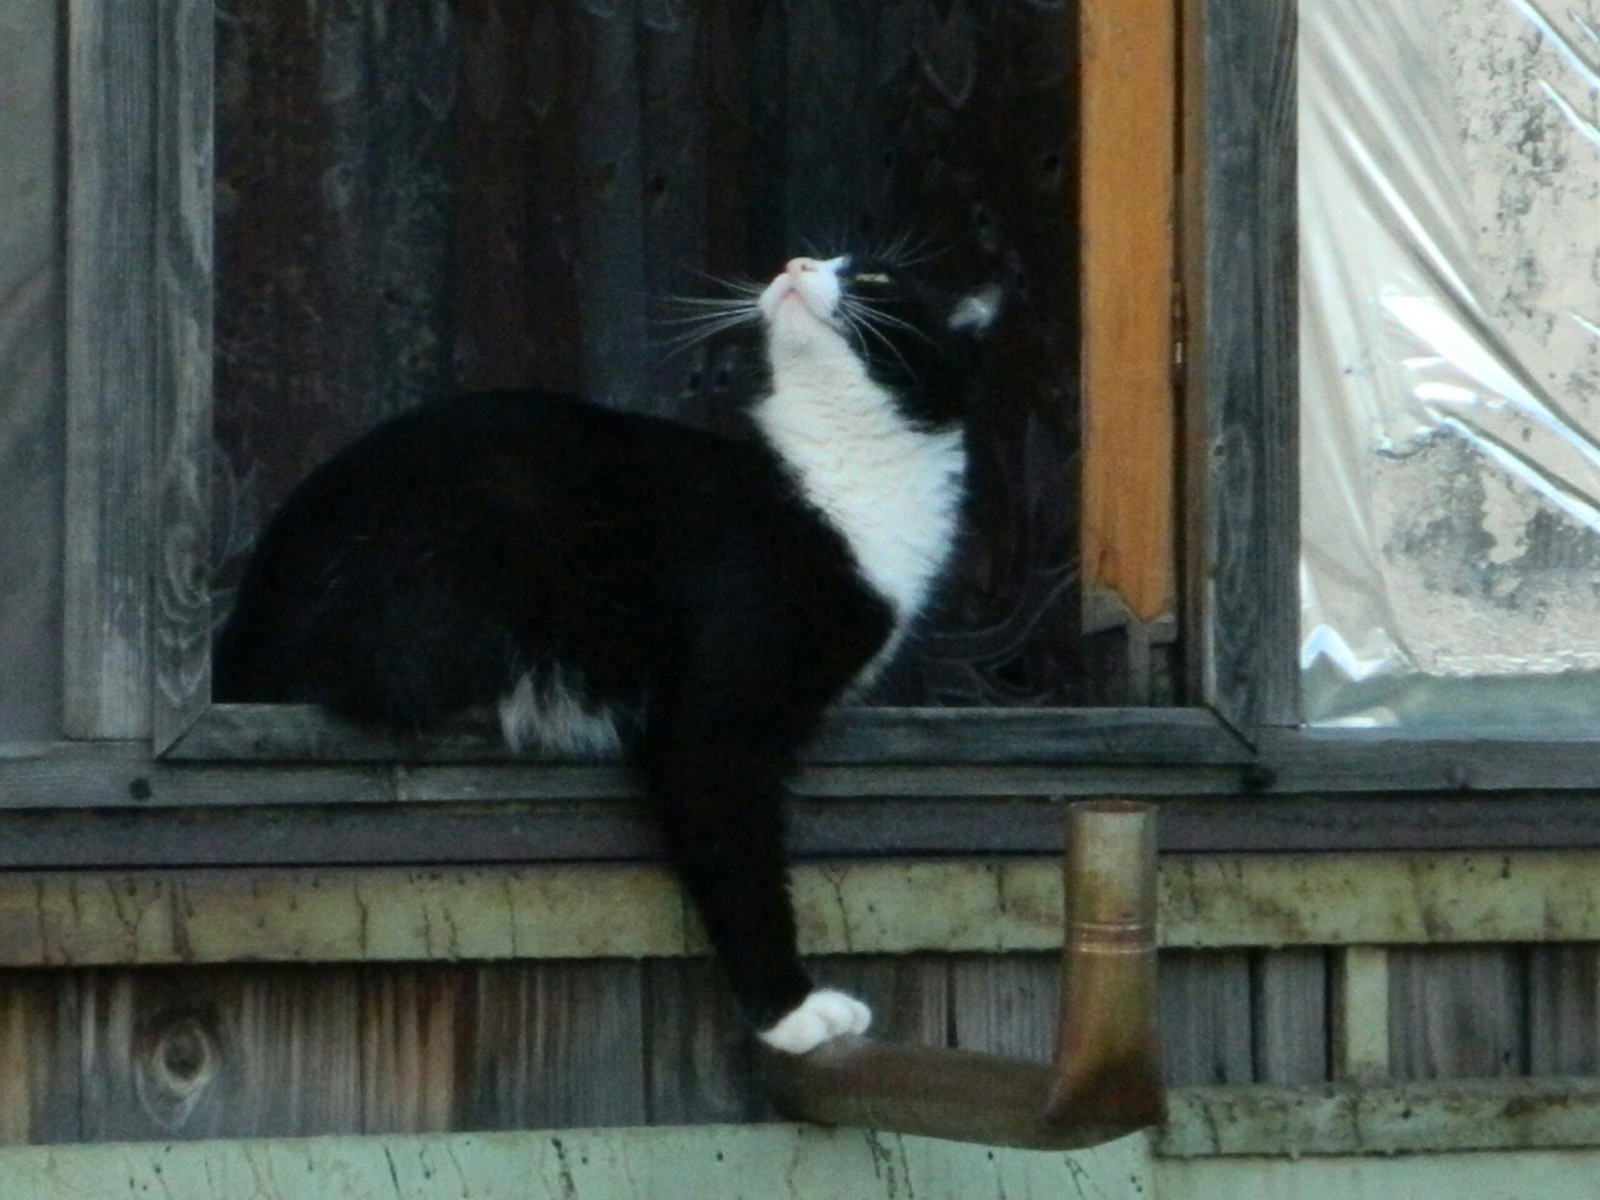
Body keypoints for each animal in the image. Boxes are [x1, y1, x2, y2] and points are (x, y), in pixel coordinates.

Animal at [214, 251, 998, 1049]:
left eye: (875, 280)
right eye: (827, 259)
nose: (796, 261)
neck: (830, 472)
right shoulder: (716, 718)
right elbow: (734, 849)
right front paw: (792, 1011)